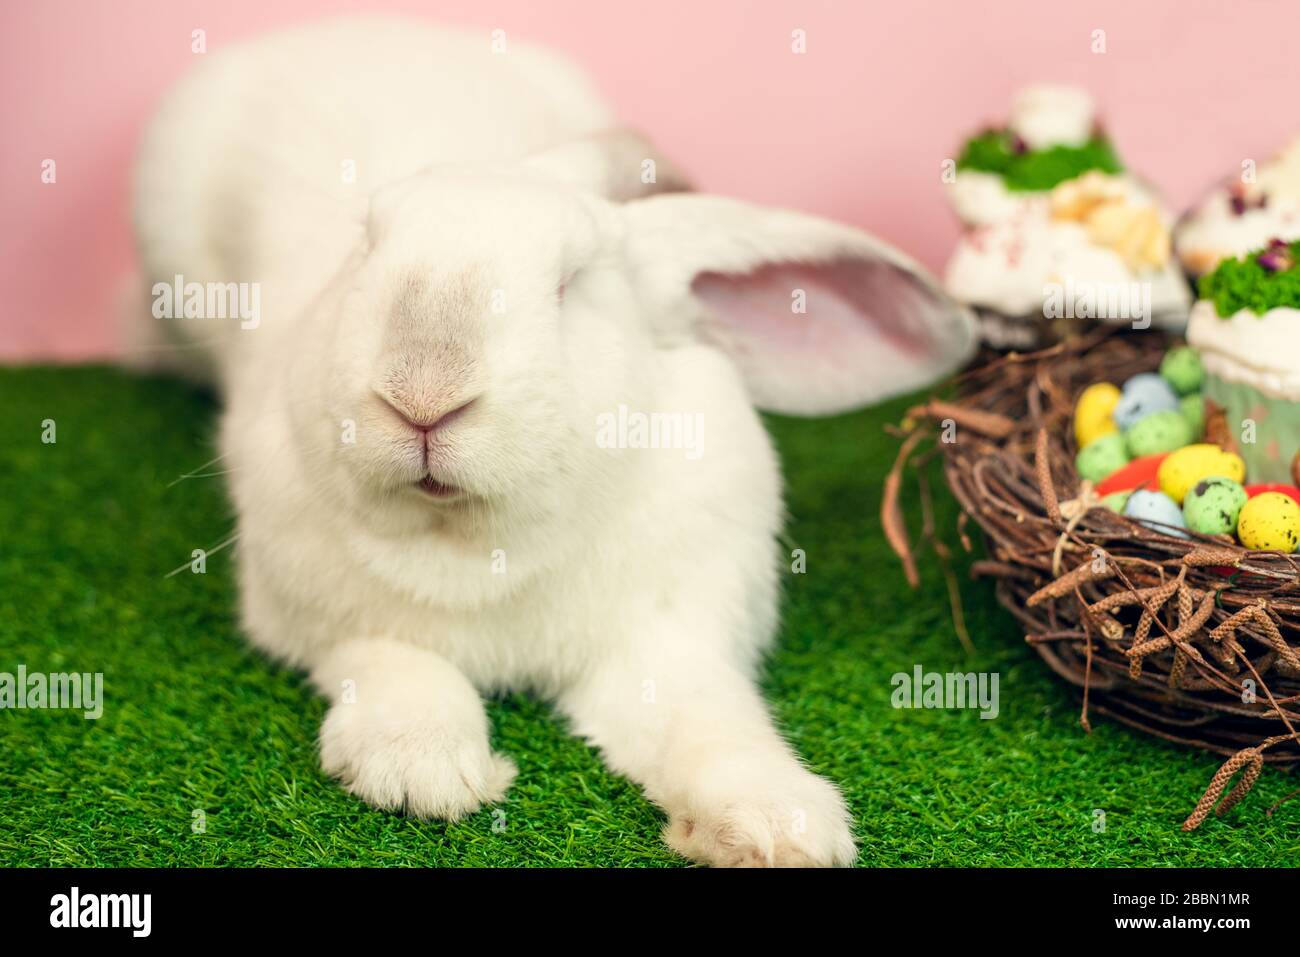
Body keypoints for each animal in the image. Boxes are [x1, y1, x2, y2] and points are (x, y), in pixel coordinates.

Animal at [132, 16, 976, 867]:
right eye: (365, 246)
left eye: (572, 282)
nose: (422, 394)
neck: (475, 546)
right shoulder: (321, 622)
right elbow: (396, 662)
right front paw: (422, 769)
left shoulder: (669, 640)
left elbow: (710, 718)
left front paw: (779, 826)